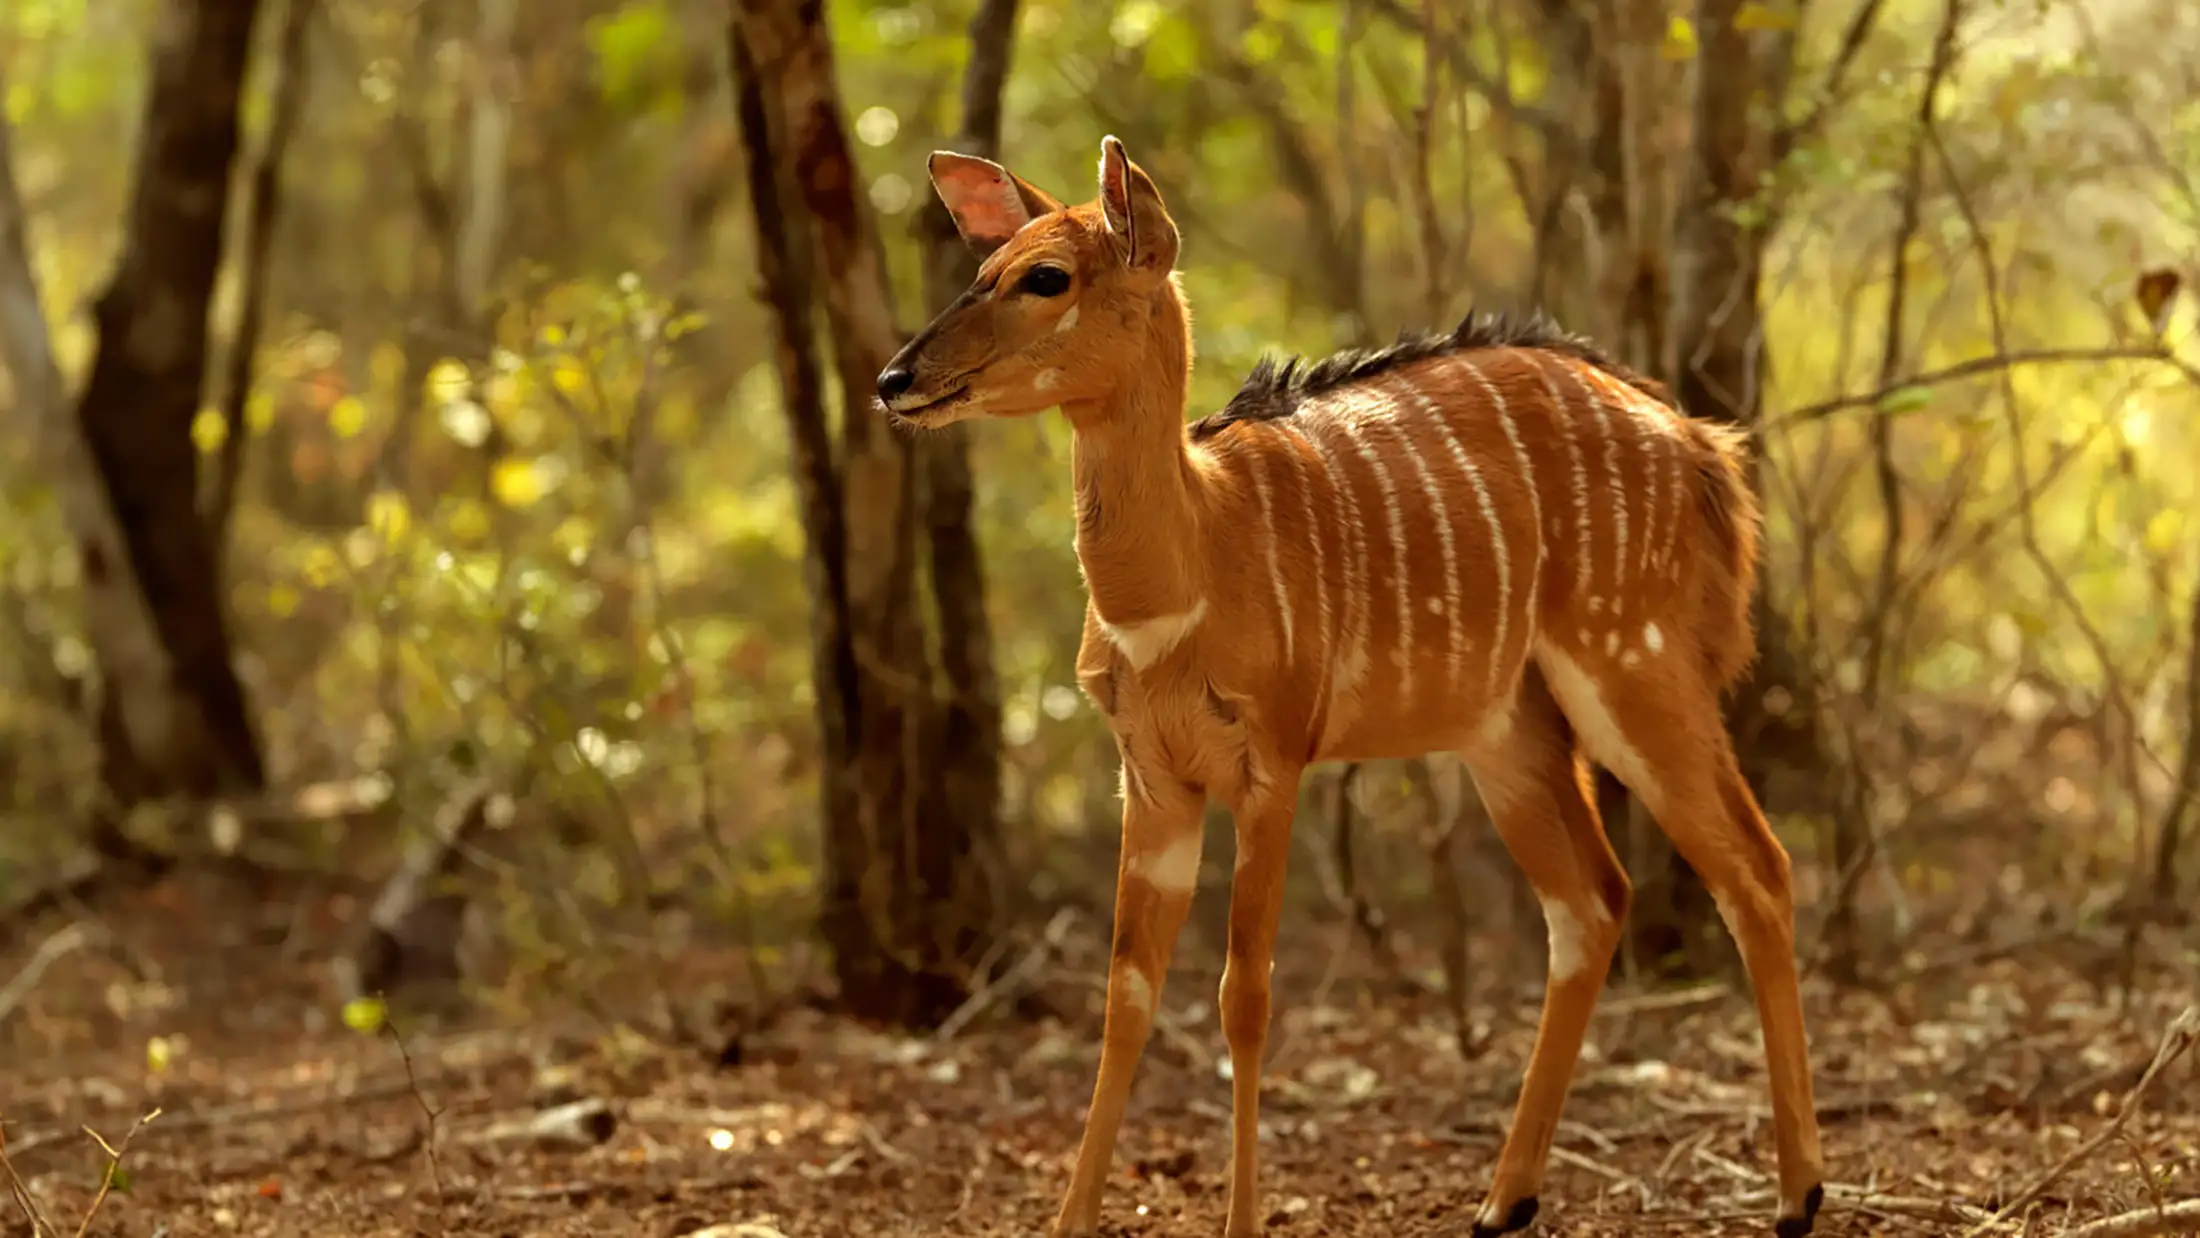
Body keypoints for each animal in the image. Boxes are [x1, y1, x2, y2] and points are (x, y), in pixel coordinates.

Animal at [876, 136, 1825, 1238]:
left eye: (1046, 277)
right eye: (980, 267)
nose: (894, 378)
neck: (1190, 562)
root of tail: (1705, 447)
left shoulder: (1273, 764)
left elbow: (1244, 994)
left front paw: (1245, 1221)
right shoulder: (1152, 778)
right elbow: (1126, 994)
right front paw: (1070, 1221)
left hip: (1635, 665)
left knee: (1756, 867)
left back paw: (1798, 1194)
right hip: (1509, 728)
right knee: (1593, 900)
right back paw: (1502, 1200)